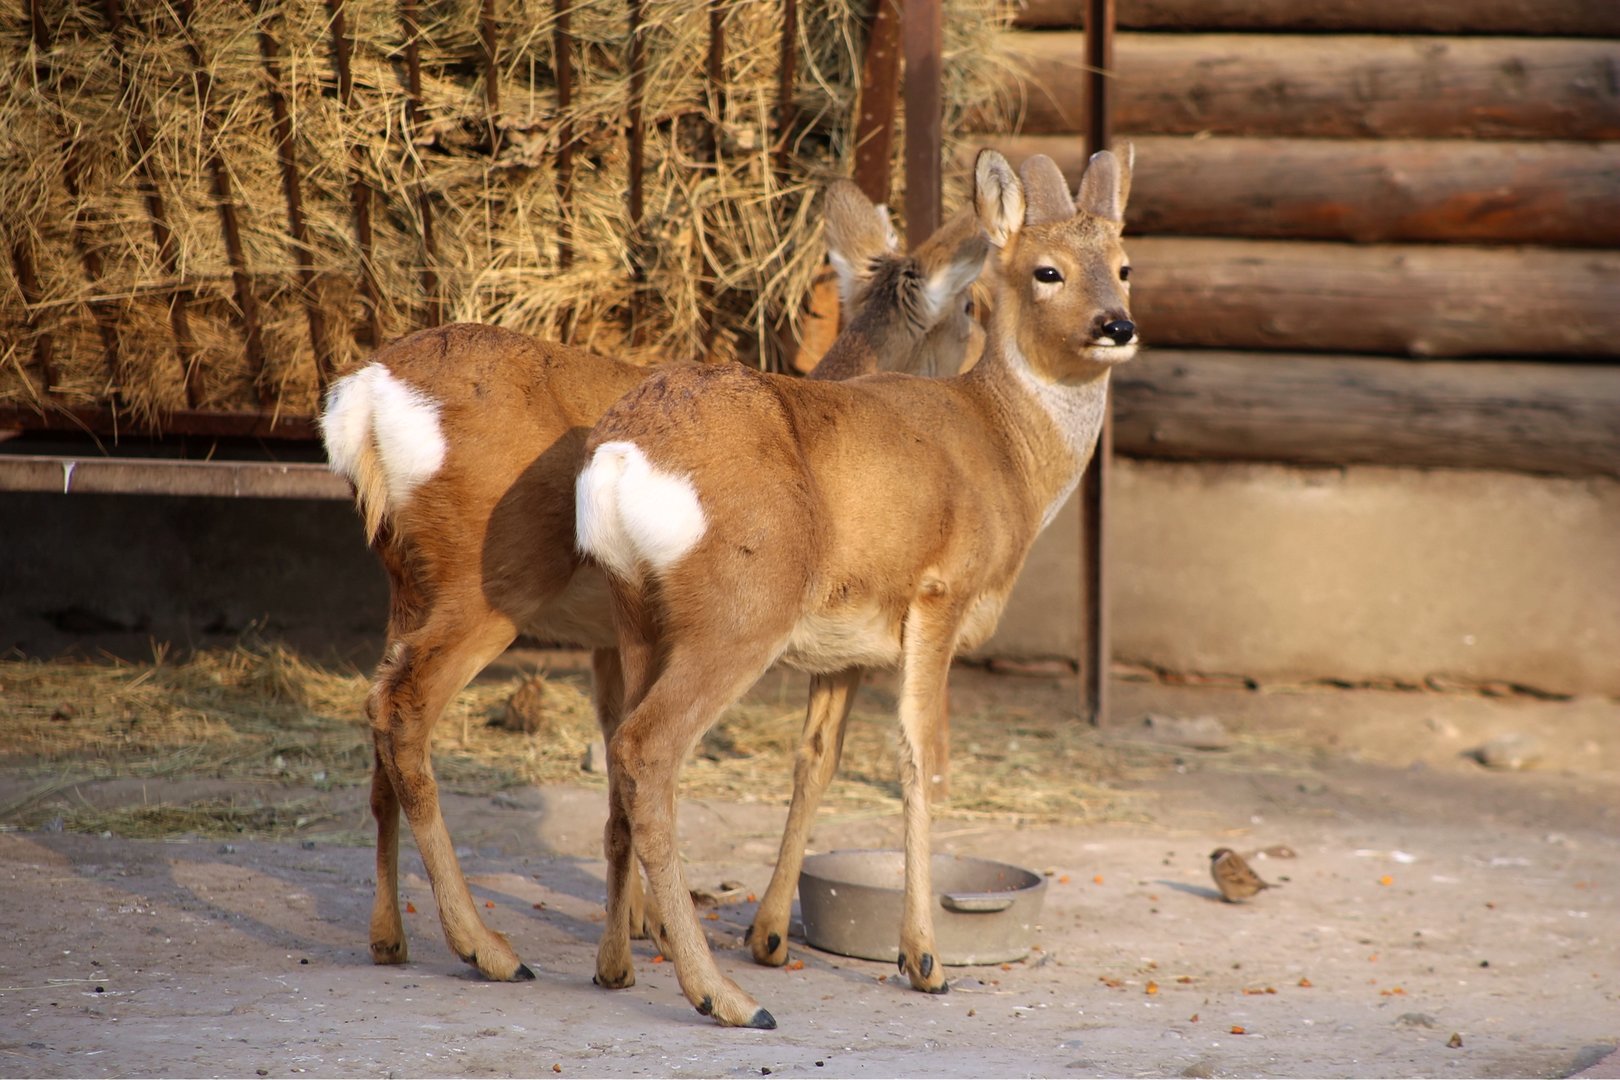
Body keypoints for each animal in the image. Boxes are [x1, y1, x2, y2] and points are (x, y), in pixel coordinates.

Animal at [316, 179, 988, 987]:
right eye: (972, 309)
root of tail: (364, 399)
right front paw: (663, 932)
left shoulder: (612, 639)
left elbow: (617, 760)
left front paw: (641, 926)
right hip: (492, 578)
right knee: (405, 707)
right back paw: (487, 947)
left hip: (406, 581)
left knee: (377, 720)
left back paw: (390, 937)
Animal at [574, 145, 1136, 1028]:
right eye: (1046, 270)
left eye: (1124, 265)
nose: (1118, 325)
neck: (1007, 451)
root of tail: (622, 456)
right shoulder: (939, 594)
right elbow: (922, 756)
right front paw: (925, 958)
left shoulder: (849, 645)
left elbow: (817, 760)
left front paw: (771, 934)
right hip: (743, 607)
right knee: (647, 748)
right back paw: (725, 998)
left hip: (635, 613)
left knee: (617, 760)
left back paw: (618, 964)